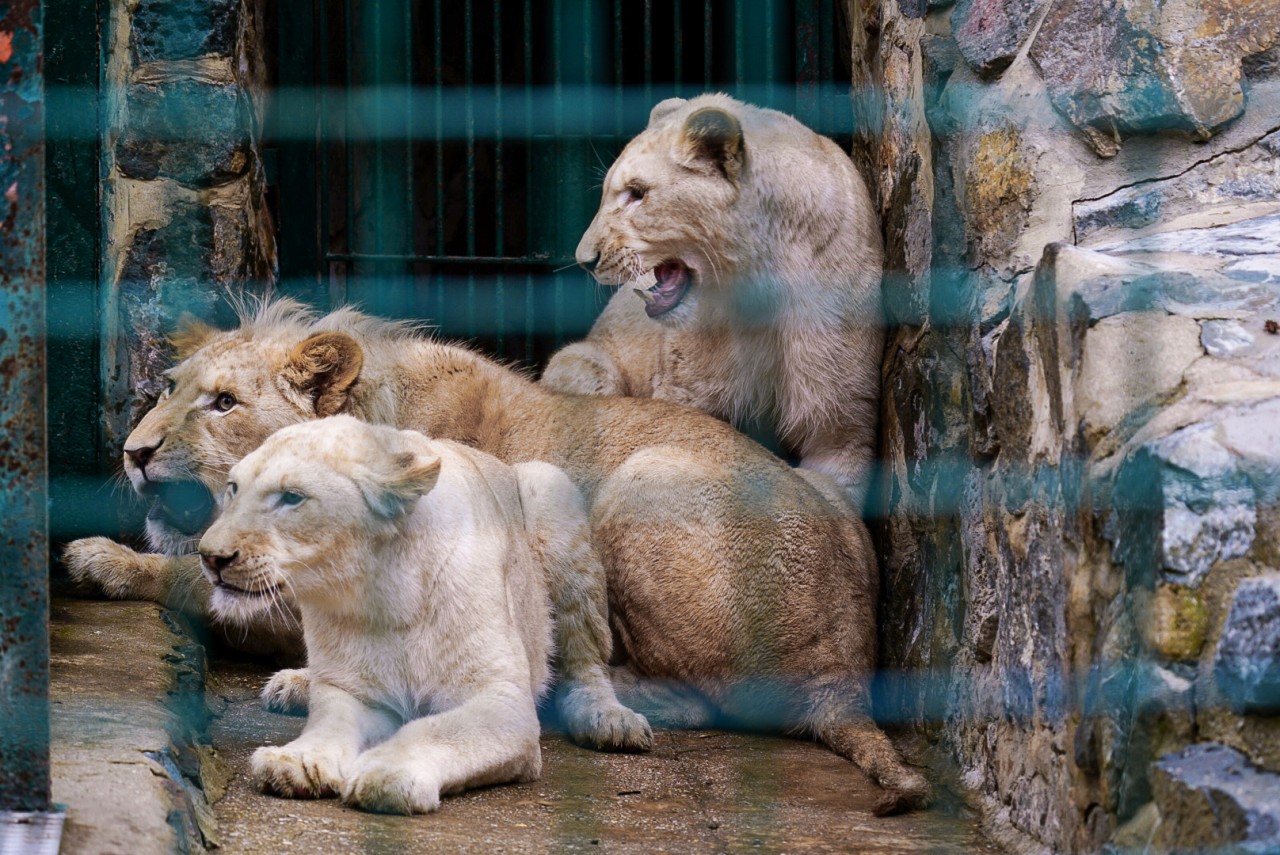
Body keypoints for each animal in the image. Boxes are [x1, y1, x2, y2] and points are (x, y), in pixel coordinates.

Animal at [67, 302, 931, 814]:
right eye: (170, 388)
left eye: (224, 404)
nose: (133, 451)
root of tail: (845, 669)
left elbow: (200, 576)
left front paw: (102, 558)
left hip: (640, 479)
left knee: (706, 695)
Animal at [540, 95, 880, 514]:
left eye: (637, 192)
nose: (585, 259)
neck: (761, 292)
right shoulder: (687, 389)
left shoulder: (840, 422)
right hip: (582, 364)